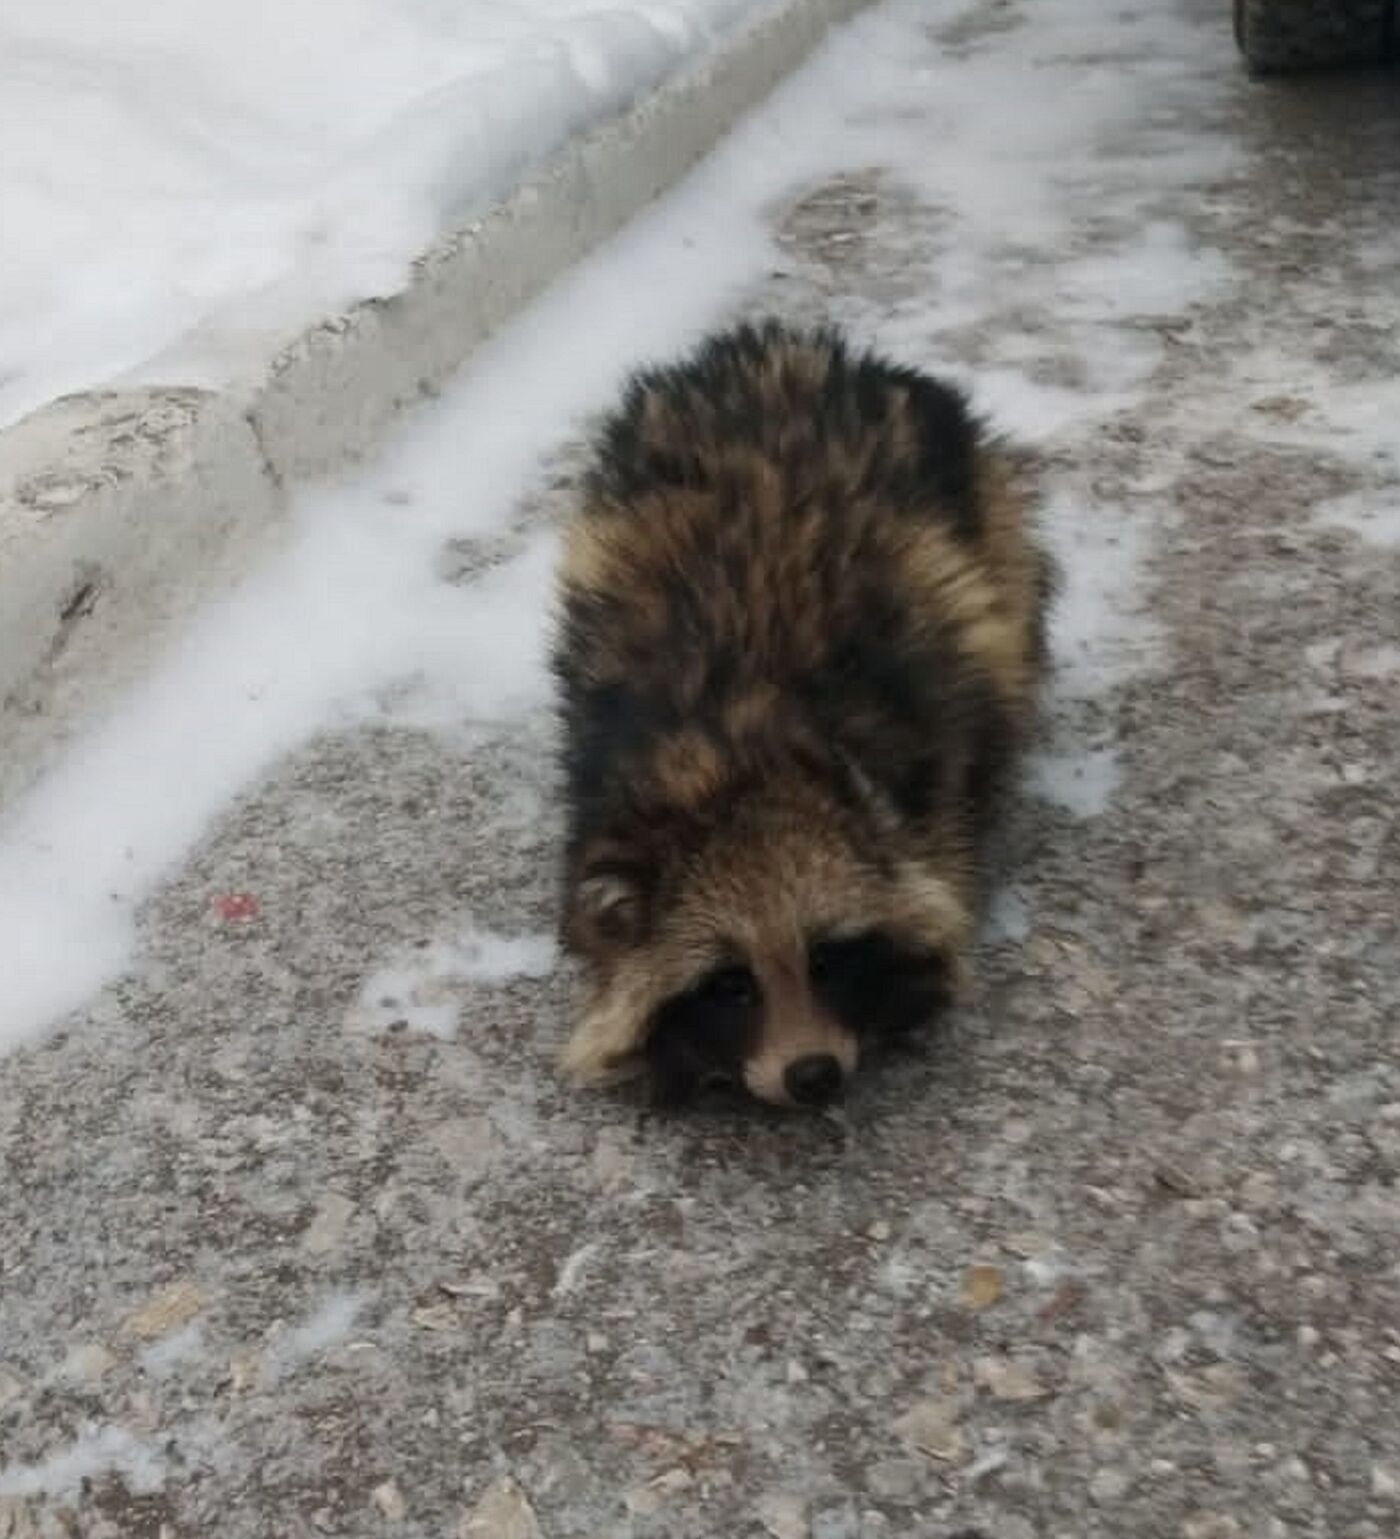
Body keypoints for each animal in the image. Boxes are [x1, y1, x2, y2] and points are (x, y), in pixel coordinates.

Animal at [547, 318, 1052, 1108]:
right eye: (730, 985)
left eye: (826, 957)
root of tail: (787, 343)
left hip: (988, 514)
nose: (812, 1075)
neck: (731, 757)